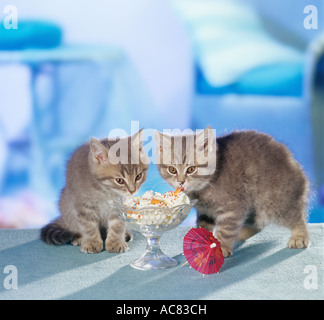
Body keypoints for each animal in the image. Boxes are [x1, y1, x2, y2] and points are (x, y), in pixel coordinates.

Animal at [156, 127, 310, 258]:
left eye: (191, 169)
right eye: (172, 169)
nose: (181, 182)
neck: (205, 187)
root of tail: (295, 165)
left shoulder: (233, 207)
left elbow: (226, 229)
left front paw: (222, 247)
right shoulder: (205, 212)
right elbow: (202, 227)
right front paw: (200, 245)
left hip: (275, 202)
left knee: (297, 217)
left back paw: (300, 236)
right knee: (258, 223)